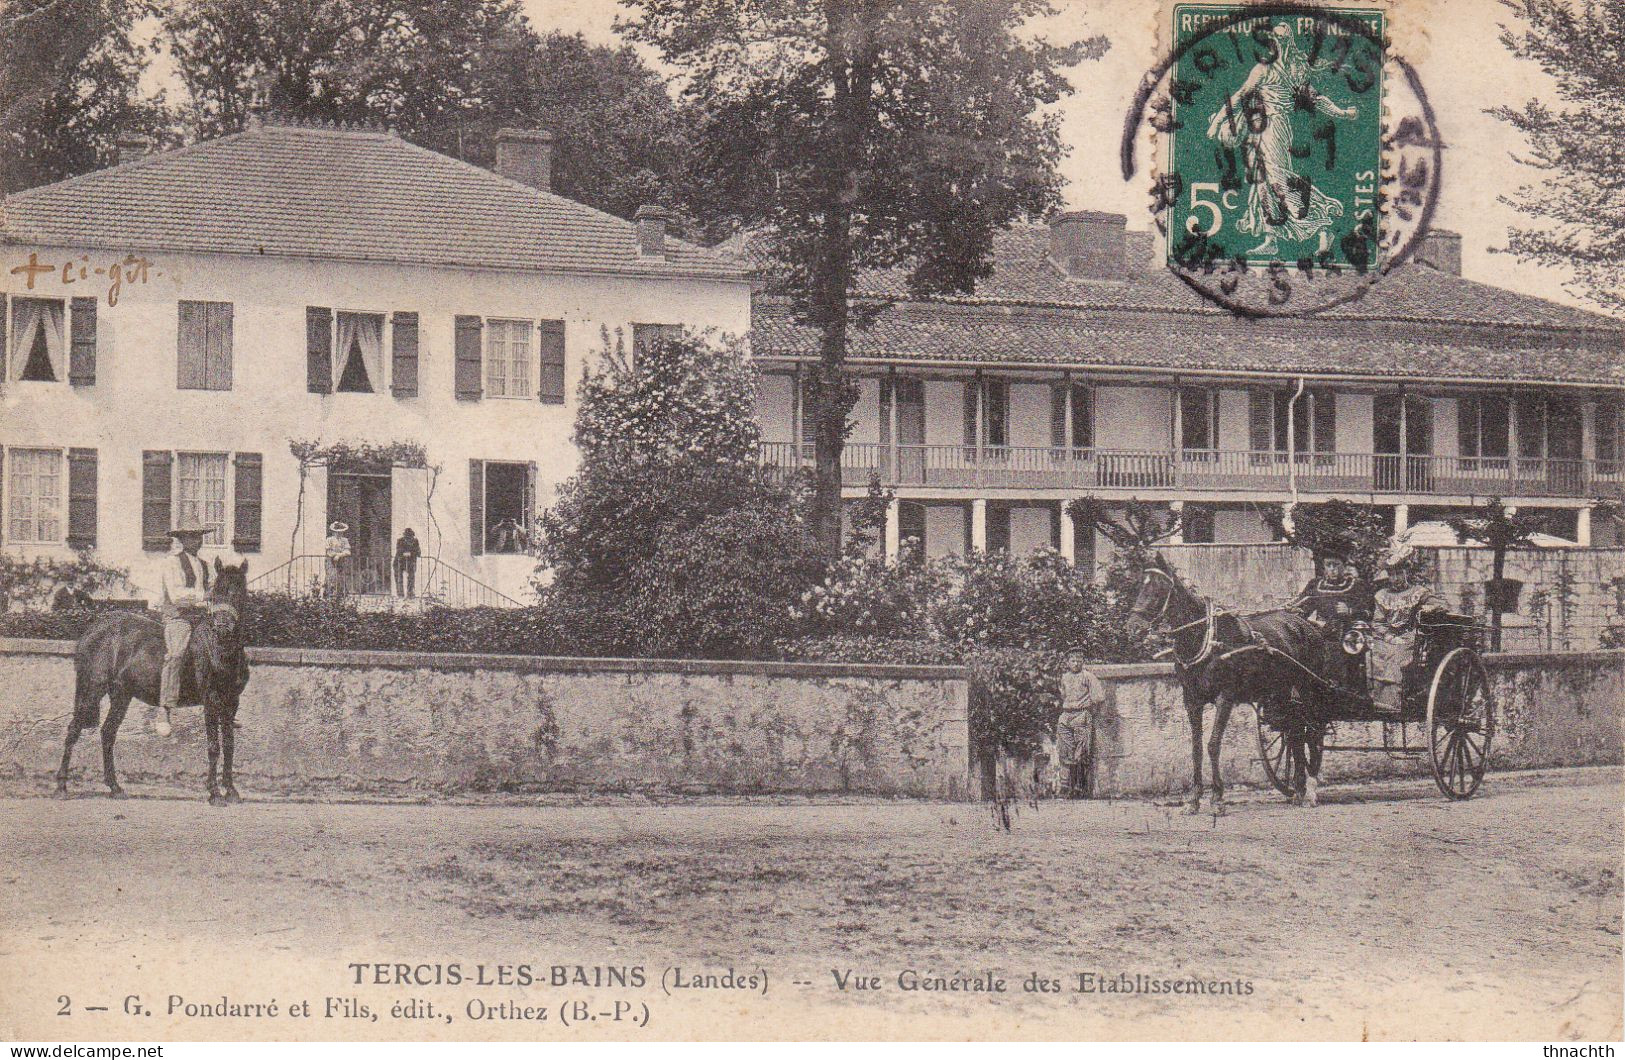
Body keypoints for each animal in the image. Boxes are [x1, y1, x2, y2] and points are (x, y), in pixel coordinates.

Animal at [57, 556, 251, 803]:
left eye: (239, 592)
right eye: (215, 593)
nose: (223, 628)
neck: (219, 649)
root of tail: (94, 629)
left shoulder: (231, 702)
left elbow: (229, 744)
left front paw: (231, 789)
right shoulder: (211, 699)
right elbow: (213, 745)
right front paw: (214, 792)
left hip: (121, 695)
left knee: (108, 732)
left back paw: (115, 787)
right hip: (92, 689)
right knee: (74, 729)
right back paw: (61, 786)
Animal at [1131, 556, 1332, 812]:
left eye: (1158, 589)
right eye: (1140, 586)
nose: (1133, 626)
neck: (1205, 638)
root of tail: (1309, 626)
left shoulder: (1225, 698)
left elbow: (1213, 744)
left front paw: (1217, 797)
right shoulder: (1192, 700)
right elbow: (1196, 748)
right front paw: (1194, 799)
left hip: (1308, 689)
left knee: (1312, 733)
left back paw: (1310, 791)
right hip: (1284, 693)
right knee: (1295, 732)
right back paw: (1298, 789)